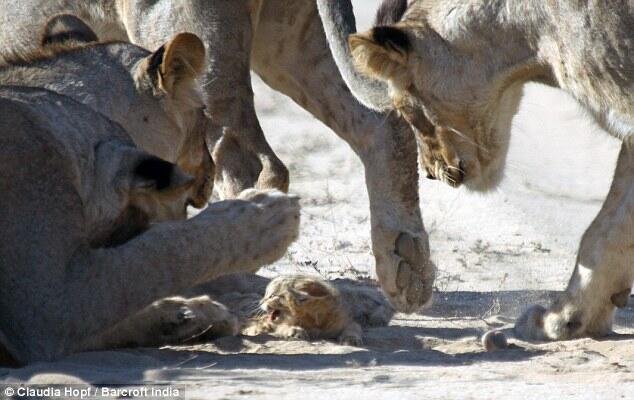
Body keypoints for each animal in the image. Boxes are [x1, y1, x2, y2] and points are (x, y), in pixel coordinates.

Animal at [334, 0, 628, 340]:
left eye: (406, 109)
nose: (429, 173)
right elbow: (608, 229)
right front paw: (571, 318)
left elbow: (609, 226)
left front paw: (558, 319)